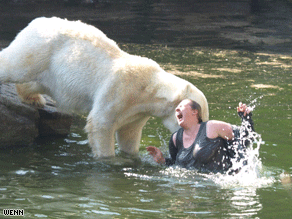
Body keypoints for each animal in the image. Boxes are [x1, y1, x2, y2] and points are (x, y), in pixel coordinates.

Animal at [0, 17, 210, 157]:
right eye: (199, 116)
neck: (148, 88)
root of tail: (35, 22)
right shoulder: (120, 90)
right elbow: (101, 123)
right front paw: (108, 160)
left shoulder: (138, 112)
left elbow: (129, 134)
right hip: (40, 48)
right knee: (15, 65)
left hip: (50, 70)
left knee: (37, 83)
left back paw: (34, 99)